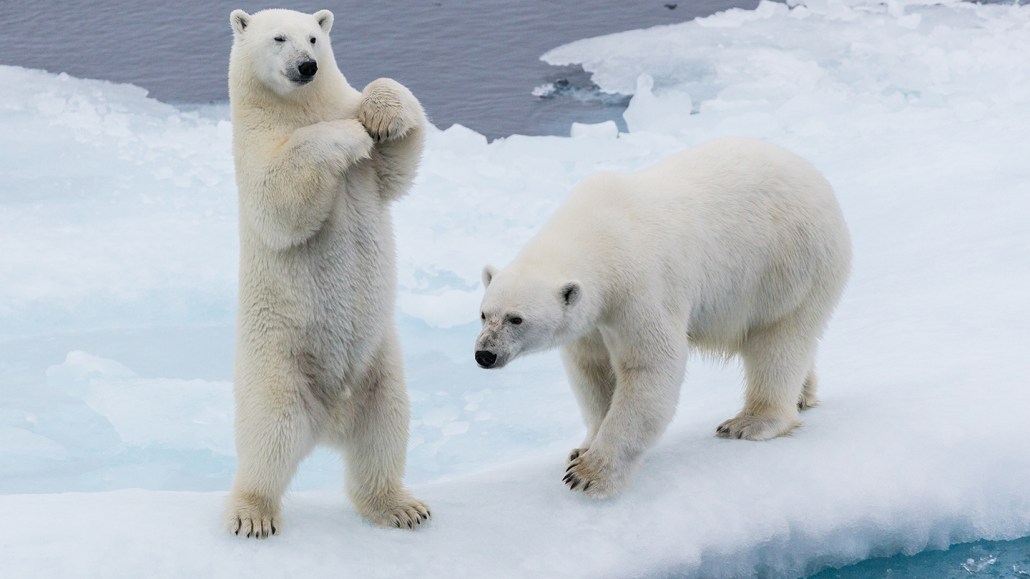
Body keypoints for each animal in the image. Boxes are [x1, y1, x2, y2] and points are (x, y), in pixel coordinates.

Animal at [225, 8, 430, 538]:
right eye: (278, 38)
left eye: (315, 37)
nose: (307, 66)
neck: (298, 107)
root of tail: (331, 421)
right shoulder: (253, 146)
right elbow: (280, 199)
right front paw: (349, 135)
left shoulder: (372, 171)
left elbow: (399, 164)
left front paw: (379, 115)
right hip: (277, 365)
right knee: (268, 439)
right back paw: (252, 513)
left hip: (380, 367)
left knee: (384, 432)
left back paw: (401, 506)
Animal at [475, 138, 851, 498]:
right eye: (484, 314)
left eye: (516, 319)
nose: (484, 354)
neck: (599, 233)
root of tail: (818, 180)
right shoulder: (593, 319)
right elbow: (592, 371)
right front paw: (582, 448)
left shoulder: (640, 287)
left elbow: (649, 366)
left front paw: (589, 474)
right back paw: (803, 394)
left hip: (788, 264)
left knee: (778, 341)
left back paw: (749, 422)